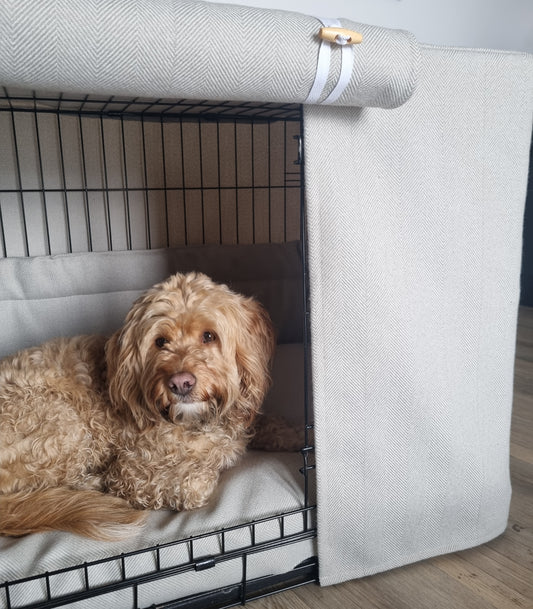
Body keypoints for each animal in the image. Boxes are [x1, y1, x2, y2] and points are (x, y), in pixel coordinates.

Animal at [0, 274, 274, 540]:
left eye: (209, 336)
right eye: (160, 341)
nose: (180, 383)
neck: (194, 422)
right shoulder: (133, 469)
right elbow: (193, 484)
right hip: (63, 422)